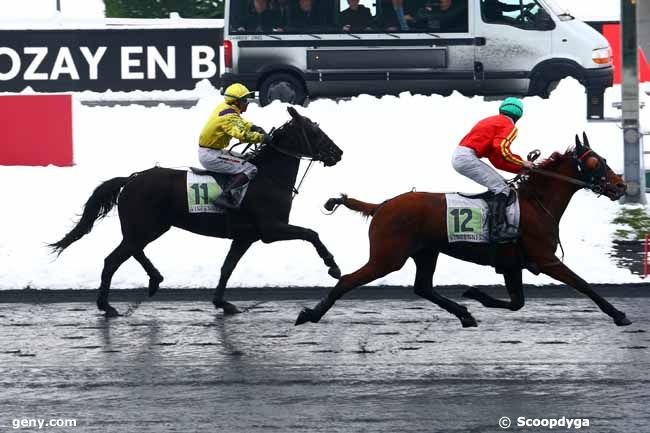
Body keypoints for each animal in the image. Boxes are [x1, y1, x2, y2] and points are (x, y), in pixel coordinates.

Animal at [49, 107, 344, 318]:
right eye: (315, 132)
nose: (338, 153)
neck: (267, 177)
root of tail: (131, 179)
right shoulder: (271, 229)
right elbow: (311, 233)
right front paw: (333, 266)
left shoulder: (245, 237)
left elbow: (227, 267)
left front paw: (222, 302)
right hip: (146, 227)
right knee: (114, 259)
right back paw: (108, 304)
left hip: (147, 228)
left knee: (131, 251)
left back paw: (153, 280)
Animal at [296, 133, 632, 326]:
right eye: (594, 162)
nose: (621, 186)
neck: (536, 204)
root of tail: (382, 205)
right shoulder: (546, 259)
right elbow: (583, 284)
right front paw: (619, 314)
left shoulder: (512, 263)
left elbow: (517, 302)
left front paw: (476, 295)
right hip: (387, 258)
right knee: (349, 280)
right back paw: (311, 314)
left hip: (426, 253)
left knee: (423, 287)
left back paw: (464, 314)